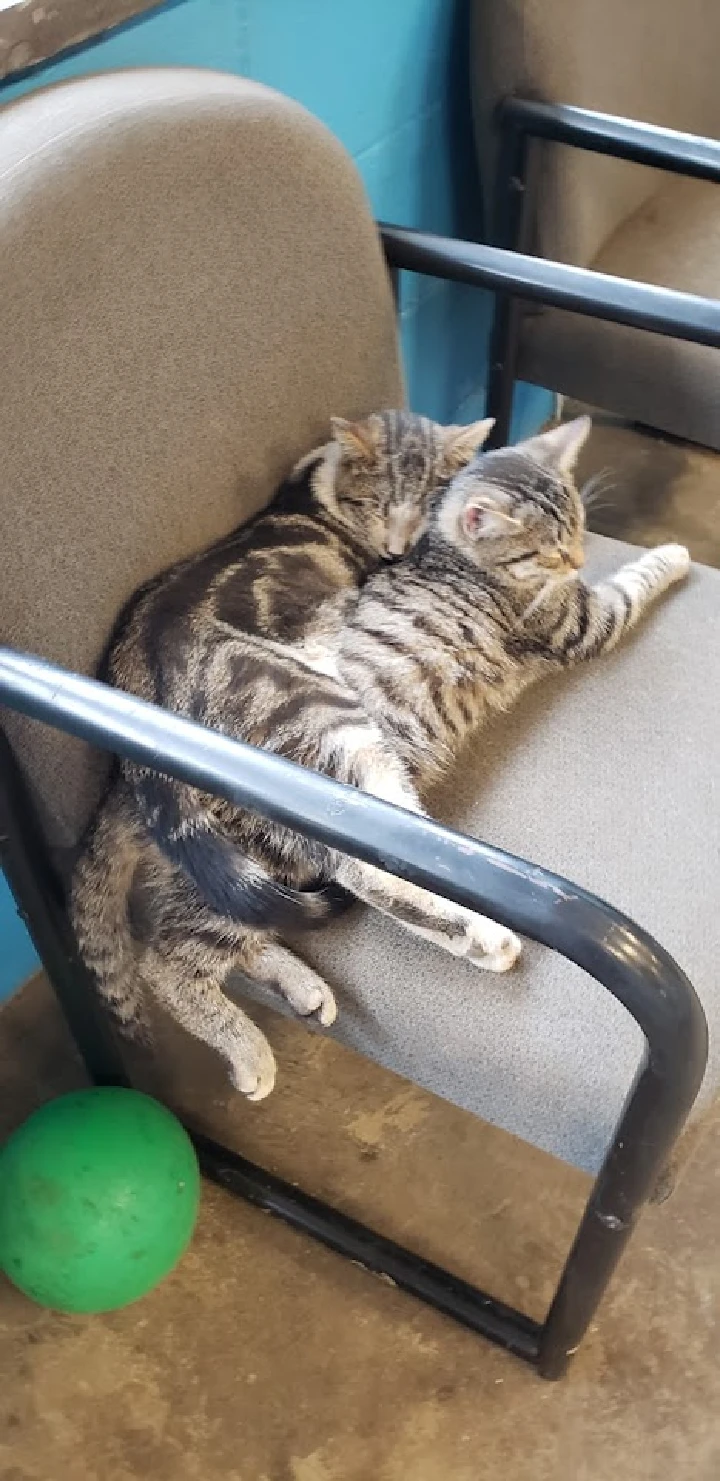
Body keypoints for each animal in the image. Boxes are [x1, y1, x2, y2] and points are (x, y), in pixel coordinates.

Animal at [71, 411, 693, 1095]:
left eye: (581, 526)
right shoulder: (578, 622)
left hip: (256, 862)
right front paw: (672, 555)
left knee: (214, 930)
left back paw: (303, 985)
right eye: (548, 547)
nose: (579, 556)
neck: (451, 555)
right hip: (334, 755)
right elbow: (630, 588)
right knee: (189, 949)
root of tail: (136, 770)